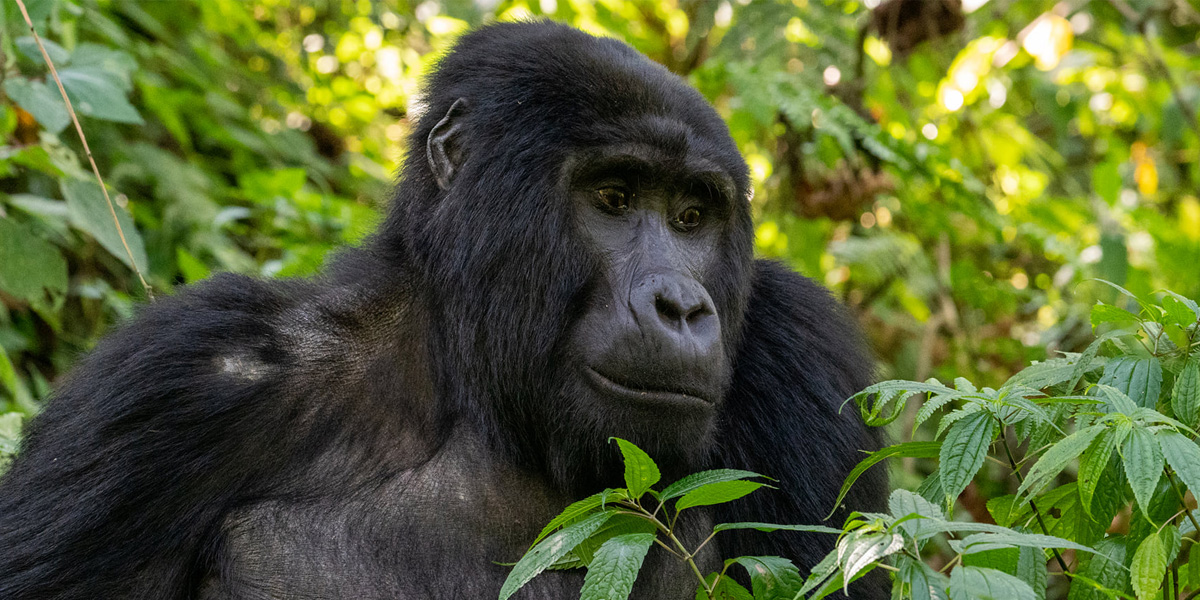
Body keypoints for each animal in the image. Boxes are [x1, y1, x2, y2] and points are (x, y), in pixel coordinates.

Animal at [0, 21, 883, 597]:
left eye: (693, 215)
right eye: (614, 198)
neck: (477, 384)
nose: (682, 306)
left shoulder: (797, 349)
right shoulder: (186, 378)